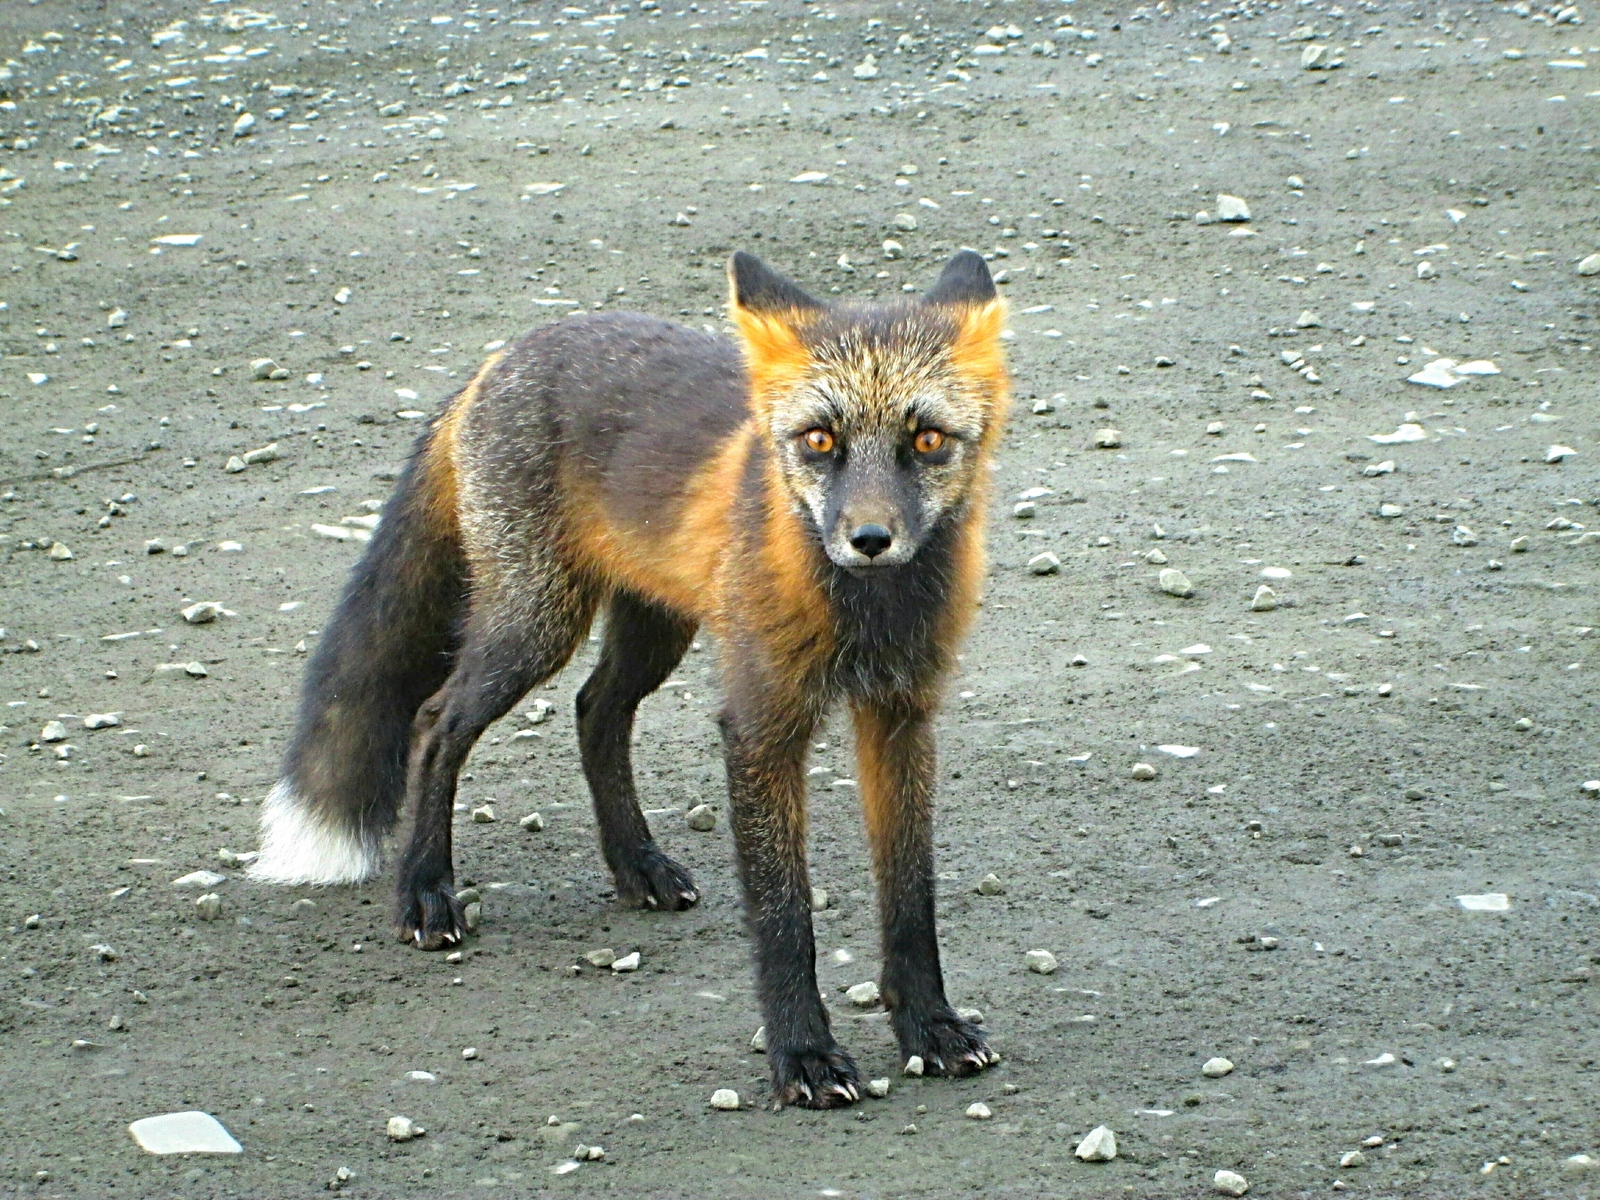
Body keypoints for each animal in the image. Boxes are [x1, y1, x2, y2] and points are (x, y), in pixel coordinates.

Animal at [256, 249, 1017, 1113]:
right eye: (820, 439)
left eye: (926, 439)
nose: (869, 538)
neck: (869, 615)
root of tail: (501, 358)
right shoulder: (761, 721)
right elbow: (784, 914)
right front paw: (803, 1054)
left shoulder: (901, 715)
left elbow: (911, 899)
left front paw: (929, 1026)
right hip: (536, 625)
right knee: (435, 720)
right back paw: (425, 890)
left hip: (655, 628)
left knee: (595, 710)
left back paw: (636, 865)